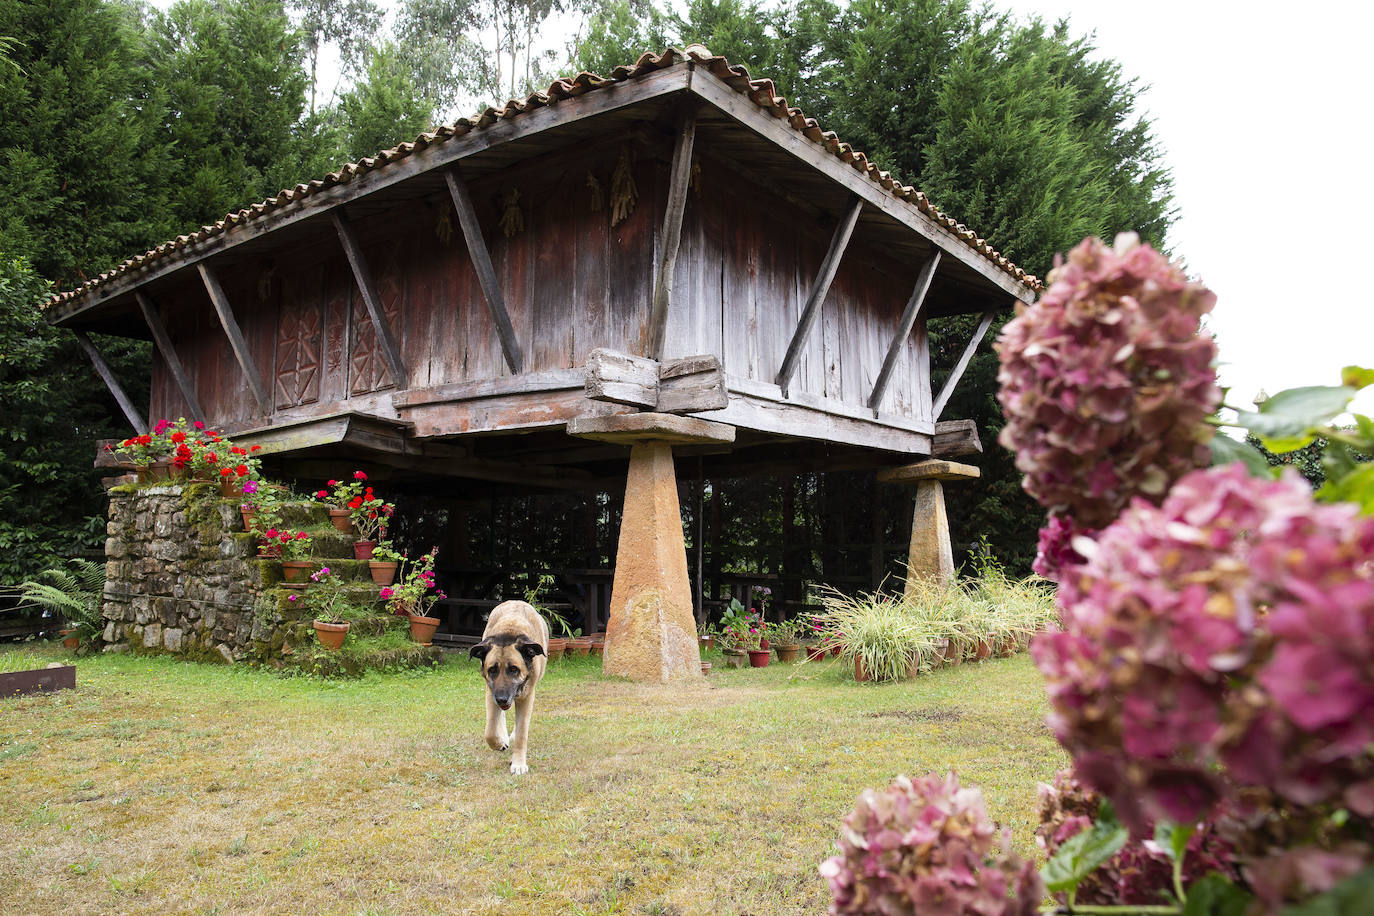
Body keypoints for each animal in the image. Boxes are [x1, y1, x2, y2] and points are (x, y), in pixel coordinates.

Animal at [464, 604, 544, 780]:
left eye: (514, 669)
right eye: (492, 670)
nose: (501, 699)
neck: (509, 632)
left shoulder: (527, 697)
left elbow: (521, 733)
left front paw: (518, 764)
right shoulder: (490, 692)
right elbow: (490, 731)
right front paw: (499, 743)